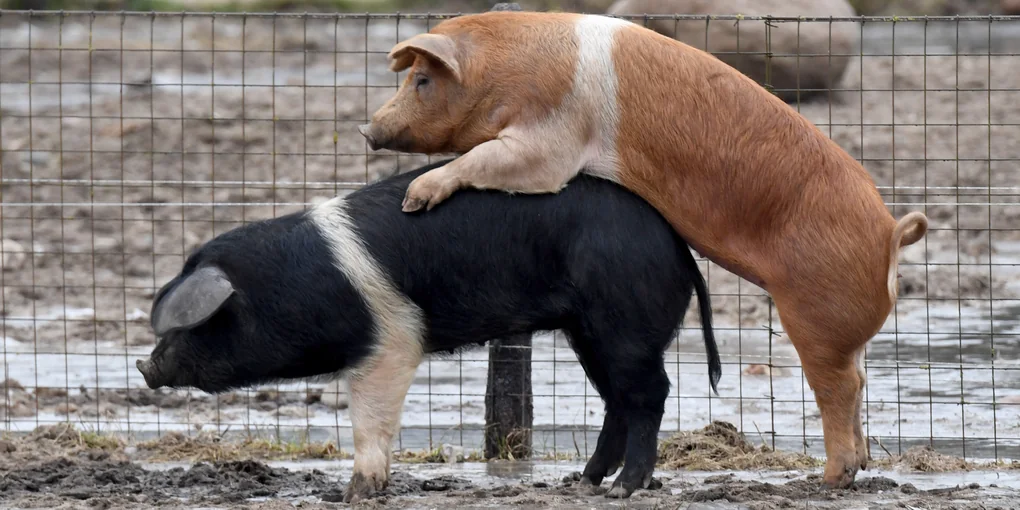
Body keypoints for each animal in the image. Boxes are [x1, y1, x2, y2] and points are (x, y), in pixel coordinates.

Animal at [136, 158, 723, 501]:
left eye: (198, 324)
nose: (144, 365)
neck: (299, 286)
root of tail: (679, 249)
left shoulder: (392, 344)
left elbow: (369, 421)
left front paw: (355, 495)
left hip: (623, 322)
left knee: (648, 395)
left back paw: (625, 489)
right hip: (588, 331)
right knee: (616, 402)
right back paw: (581, 481)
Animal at [358, 11, 929, 489]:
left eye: (423, 80)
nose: (367, 127)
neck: (508, 73)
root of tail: (890, 235)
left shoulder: (548, 143)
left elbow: (486, 159)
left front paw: (413, 199)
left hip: (816, 315)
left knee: (839, 387)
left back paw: (827, 480)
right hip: (843, 330)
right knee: (860, 377)